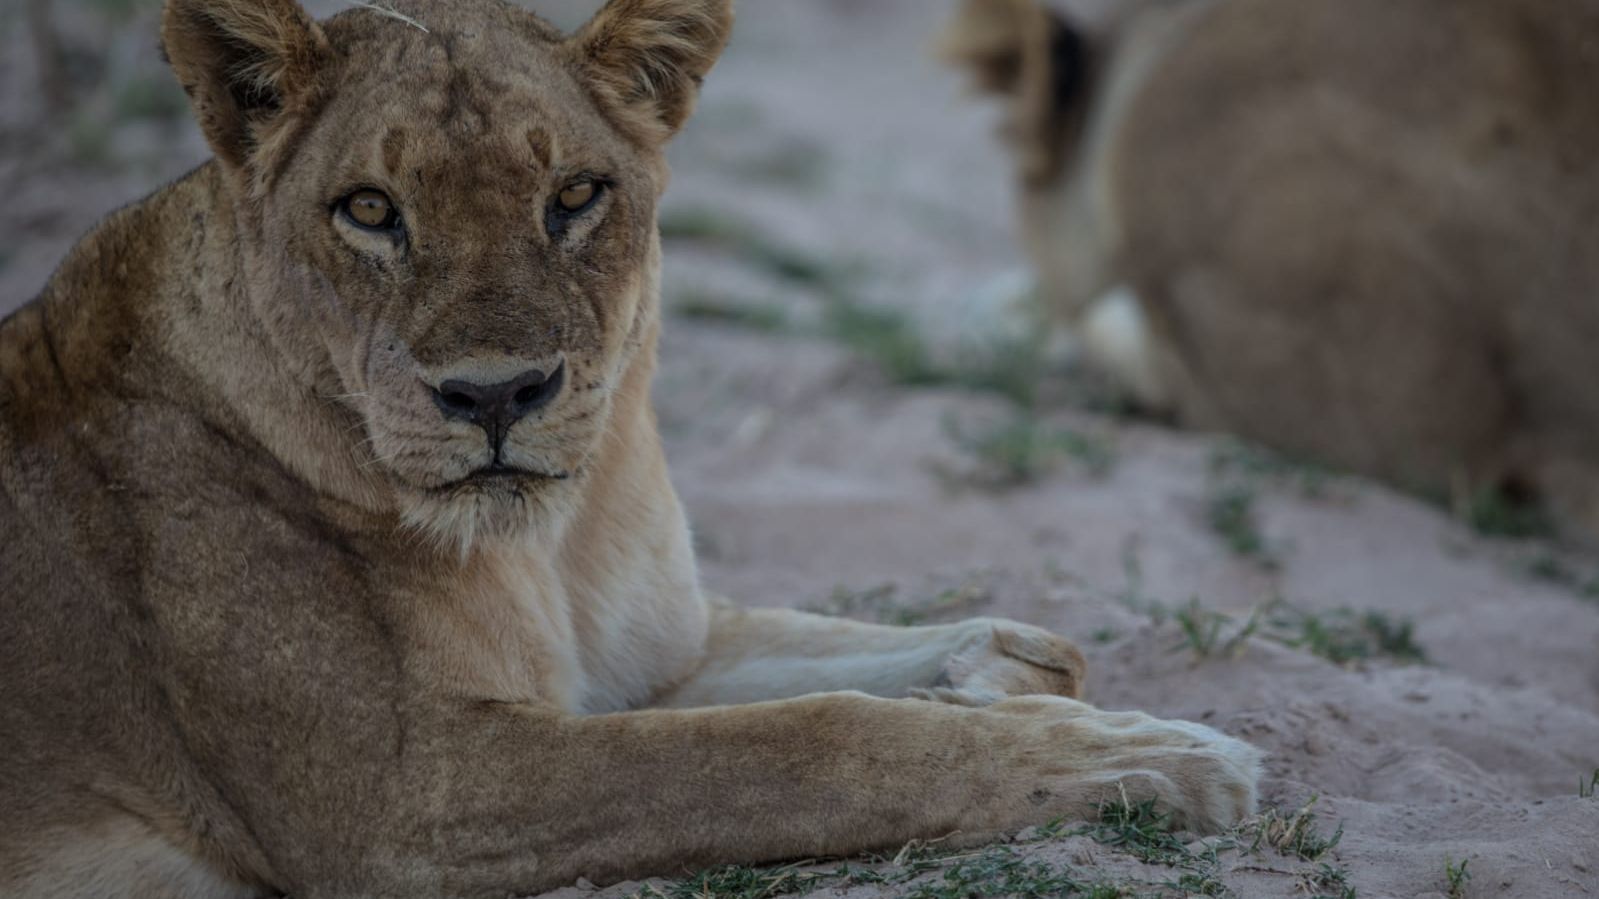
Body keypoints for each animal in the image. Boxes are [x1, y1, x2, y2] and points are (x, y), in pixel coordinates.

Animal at [0, 1, 1262, 895]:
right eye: (368, 209)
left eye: (576, 194)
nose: (495, 394)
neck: (550, 543)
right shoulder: (407, 799)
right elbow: (802, 741)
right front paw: (1145, 758)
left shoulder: (648, 658)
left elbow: (850, 659)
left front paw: (1012, 673)